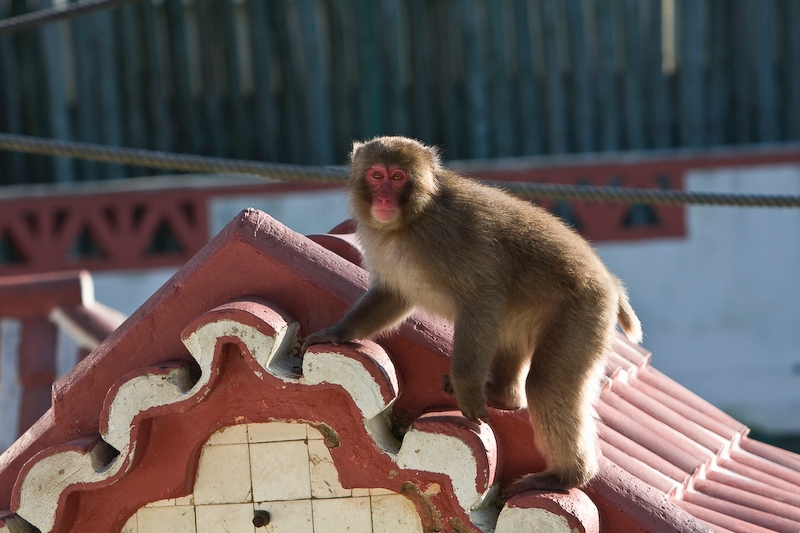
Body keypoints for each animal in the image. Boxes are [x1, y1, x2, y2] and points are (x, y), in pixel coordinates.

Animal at [302, 136, 642, 495]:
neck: (411, 221)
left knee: (545, 383)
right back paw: (505, 397)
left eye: (397, 178)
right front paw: (338, 332)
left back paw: (566, 476)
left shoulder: (448, 236)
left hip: (584, 312)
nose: (383, 198)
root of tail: (609, 283)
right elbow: (393, 296)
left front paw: (467, 386)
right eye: (376, 175)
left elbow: (481, 294)